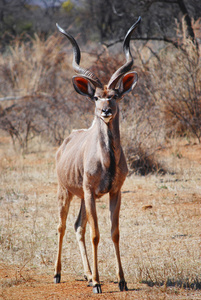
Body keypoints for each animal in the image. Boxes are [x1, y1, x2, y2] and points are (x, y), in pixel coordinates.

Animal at [54, 16, 141, 292]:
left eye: (115, 96)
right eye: (95, 97)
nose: (105, 111)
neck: (107, 161)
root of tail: (65, 142)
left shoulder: (115, 192)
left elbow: (114, 232)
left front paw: (121, 280)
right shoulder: (92, 192)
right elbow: (96, 234)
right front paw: (98, 283)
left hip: (81, 197)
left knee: (77, 226)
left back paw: (87, 274)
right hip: (66, 192)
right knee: (62, 226)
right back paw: (59, 274)